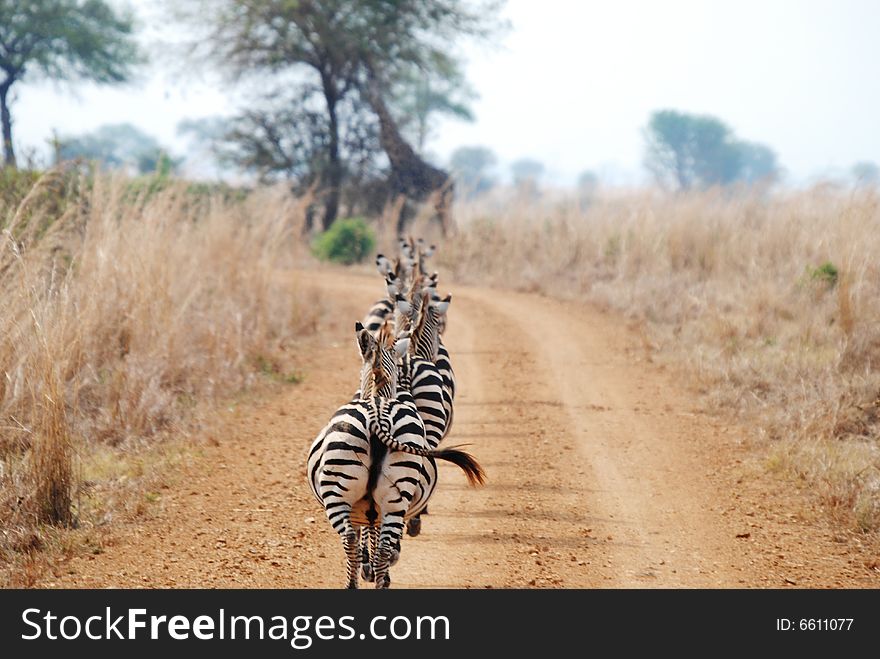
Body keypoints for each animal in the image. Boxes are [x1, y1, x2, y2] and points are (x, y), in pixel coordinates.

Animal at [308, 322, 488, 592]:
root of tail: (376, 414)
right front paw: (372, 568)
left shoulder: (365, 509)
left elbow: (366, 534)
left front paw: (369, 569)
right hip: (388, 494)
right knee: (374, 542)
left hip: (344, 493)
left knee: (352, 538)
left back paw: (363, 581)